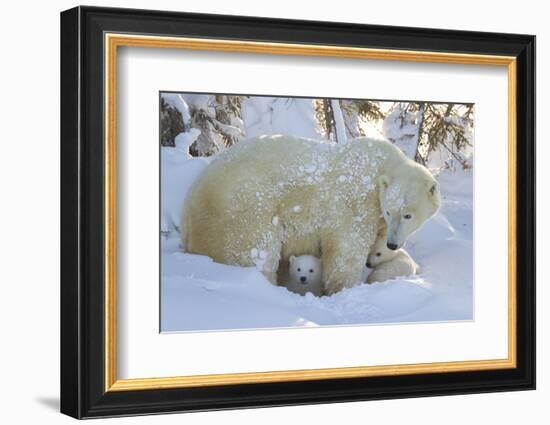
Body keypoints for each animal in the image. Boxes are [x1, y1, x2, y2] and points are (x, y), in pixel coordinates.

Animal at [183, 134, 442, 294]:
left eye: (408, 215)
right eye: (390, 211)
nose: (393, 243)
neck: (380, 167)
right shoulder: (356, 205)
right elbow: (345, 254)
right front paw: (343, 289)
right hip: (242, 214)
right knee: (256, 253)